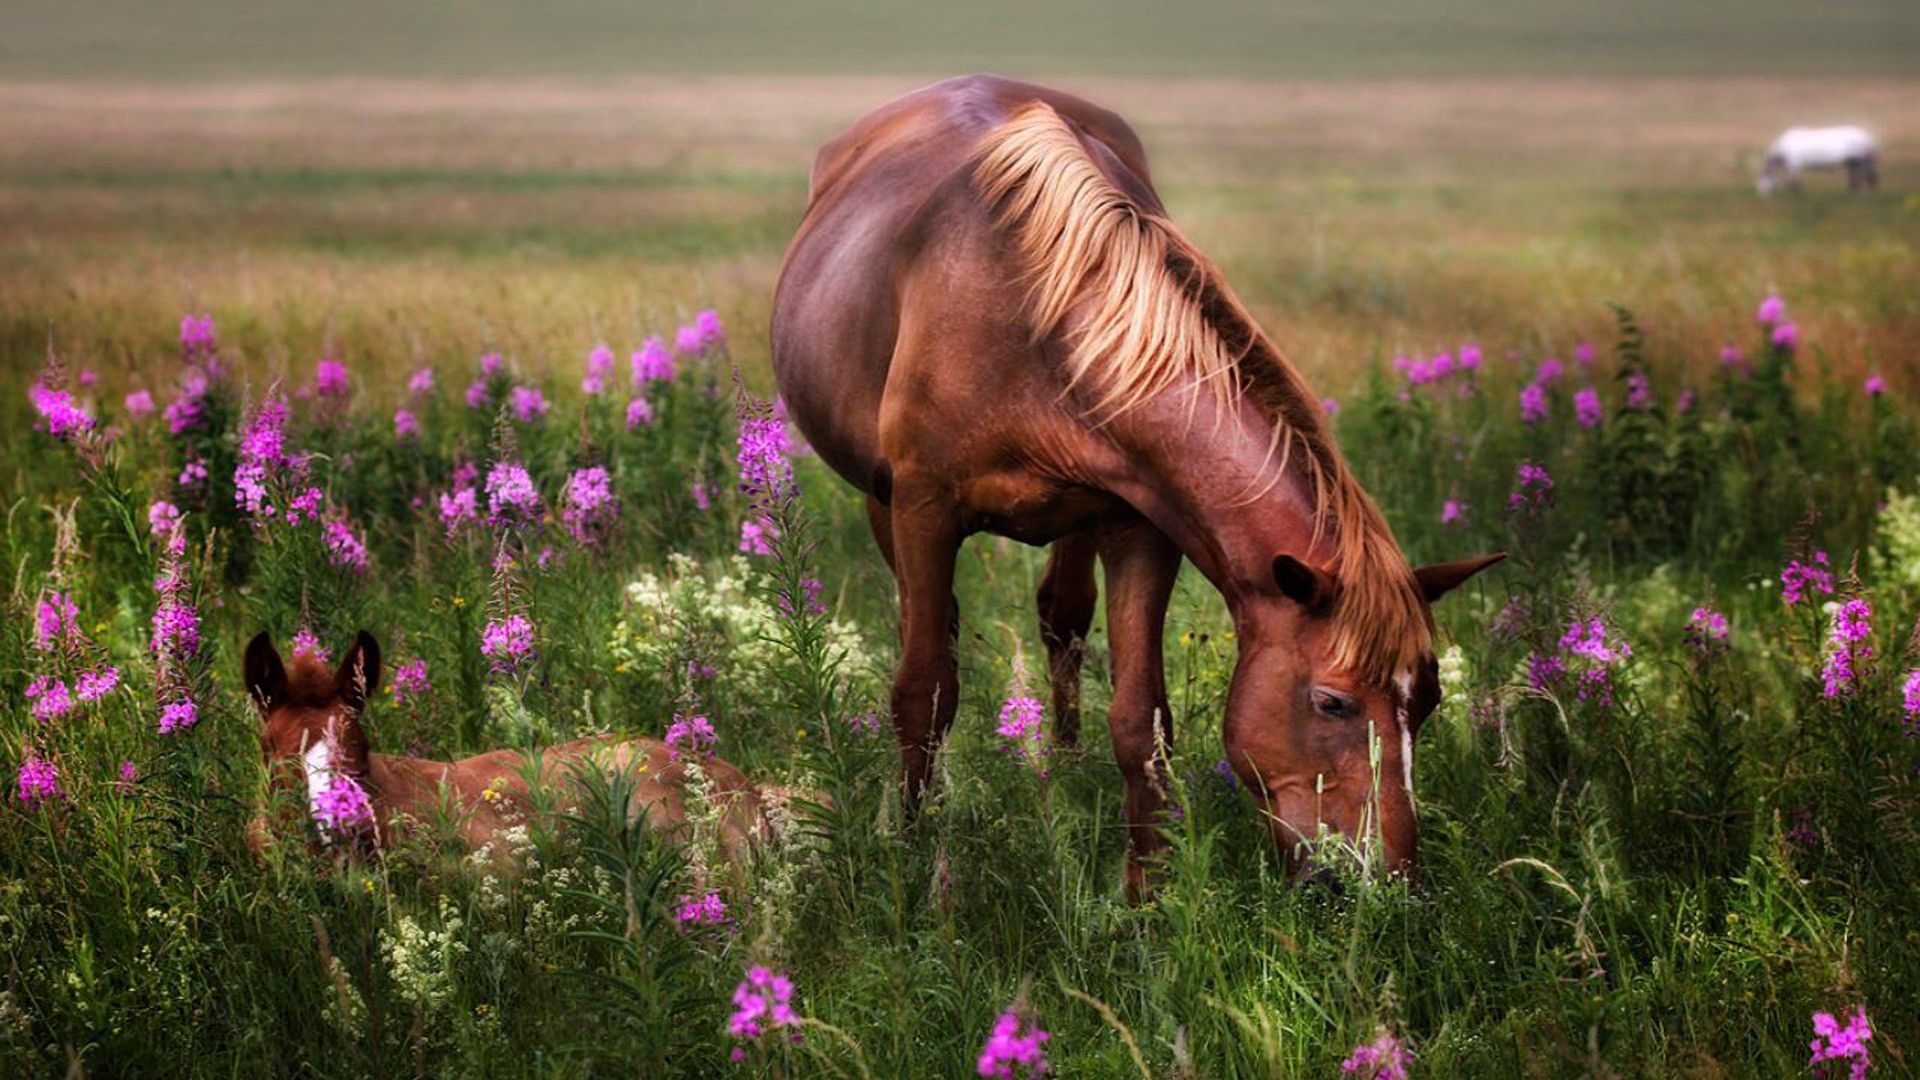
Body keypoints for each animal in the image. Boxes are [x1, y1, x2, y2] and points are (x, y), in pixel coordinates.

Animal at [771, 71, 1505, 887]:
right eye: (1333, 703)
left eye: (1428, 701)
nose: (1388, 877)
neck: (1036, 318)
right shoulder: (924, 508)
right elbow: (924, 690)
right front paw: (909, 852)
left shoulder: (1139, 524)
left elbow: (1140, 716)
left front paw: (1147, 894)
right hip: (883, 500)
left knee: (1061, 616)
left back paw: (1060, 767)